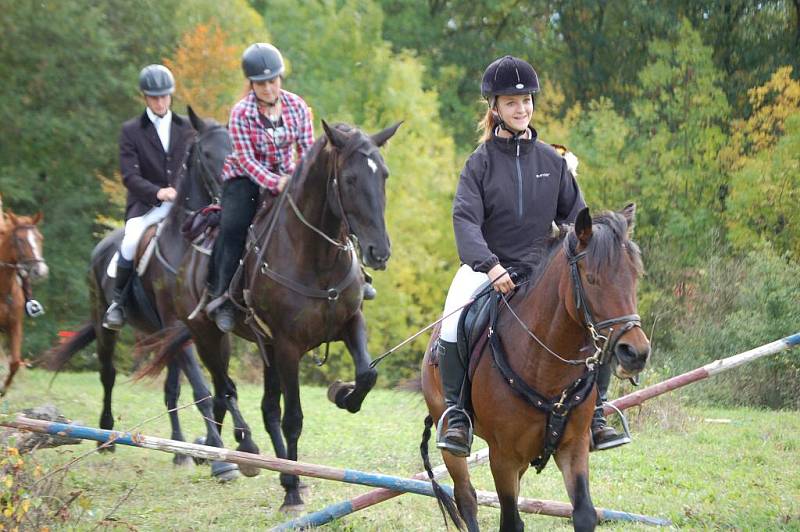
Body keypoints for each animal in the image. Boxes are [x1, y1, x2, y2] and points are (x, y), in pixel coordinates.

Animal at [45, 107, 239, 478]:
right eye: (207, 154)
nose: (229, 200)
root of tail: (102, 246)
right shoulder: (179, 326)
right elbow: (204, 389)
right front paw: (222, 460)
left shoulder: (198, 330)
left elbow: (214, 387)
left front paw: (226, 447)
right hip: (106, 324)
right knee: (107, 374)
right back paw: (105, 437)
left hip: (160, 335)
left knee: (171, 389)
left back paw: (179, 450)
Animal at [143, 121, 400, 512]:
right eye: (350, 178)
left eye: (383, 174)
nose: (379, 252)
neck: (316, 259)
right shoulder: (289, 347)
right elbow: (293, 418)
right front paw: (290, 493)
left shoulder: (349, 323)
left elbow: (367, 375)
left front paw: (343, 394)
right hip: (209, 337)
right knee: (223, 391)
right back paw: (230, 454)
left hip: (266, 350)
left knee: (263, 407)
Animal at [418, 205, 648, 532]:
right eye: (592, 279)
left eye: (634, 277)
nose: (635, 353)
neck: (546, 368)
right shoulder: (503, 456)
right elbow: (511, 521)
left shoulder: (573, 447)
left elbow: (584, 513)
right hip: (451, 435)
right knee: (466, 498)